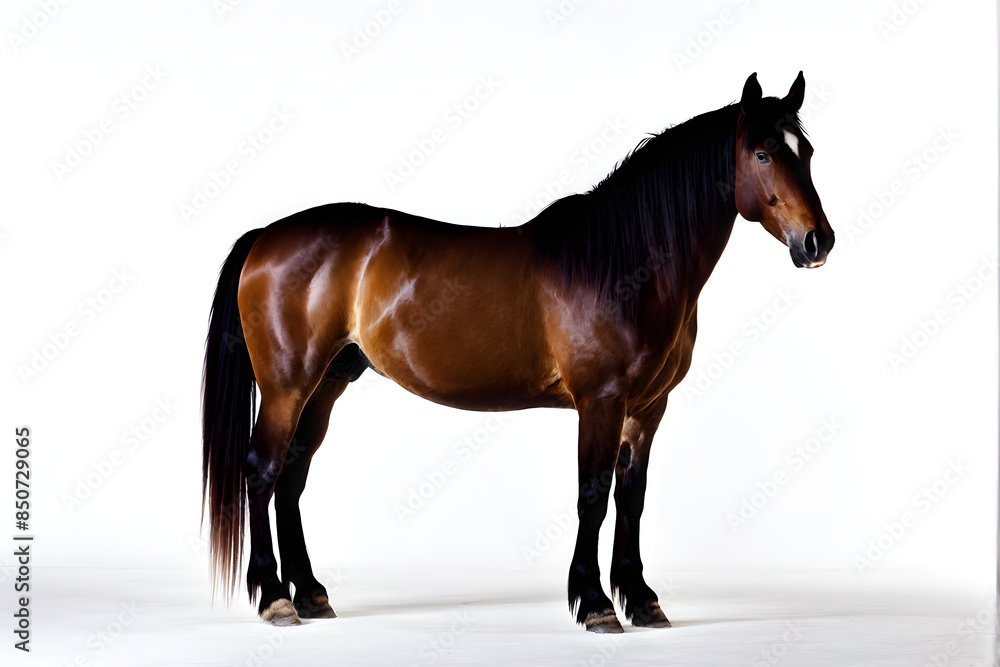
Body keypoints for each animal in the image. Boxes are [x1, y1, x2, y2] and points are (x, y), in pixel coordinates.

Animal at [202, 72, 834, 633]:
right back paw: (275, 600)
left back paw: (310, 594)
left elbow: (631, 498)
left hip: (328, 382)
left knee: (292, 477)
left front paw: (642, 601)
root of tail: (266, 236)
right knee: (262, 471)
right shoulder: (601, 401)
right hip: (286, 385)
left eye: (806, 151)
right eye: (761, 154)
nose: (817, 241)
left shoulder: (648, 409)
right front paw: (597, 606)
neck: (625, 261)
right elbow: (592, 497)